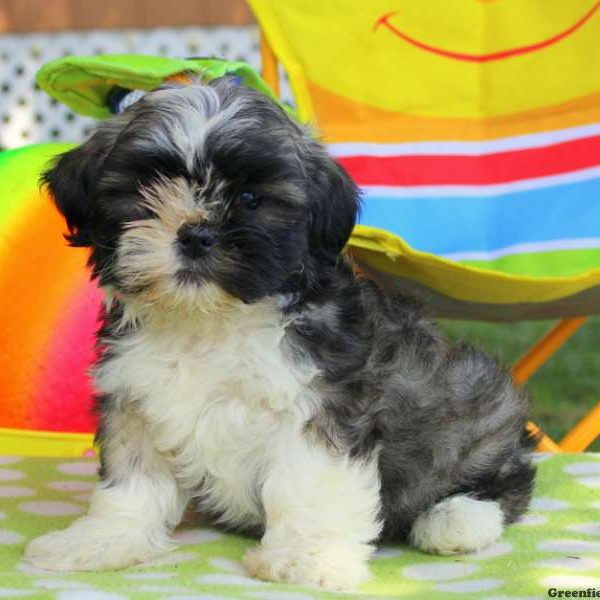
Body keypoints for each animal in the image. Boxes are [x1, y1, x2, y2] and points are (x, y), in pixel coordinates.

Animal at [27, 77, 536, 588]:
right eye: (146, 186)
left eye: (251, 200)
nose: (196, 234)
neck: (209, 321)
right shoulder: (135, 399)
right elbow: (132, 482)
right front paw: (103, 540)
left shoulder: (320, 404)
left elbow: (309, 484)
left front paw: (305, 556)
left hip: (477, 405)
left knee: (508, 478)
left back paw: (458, 519)